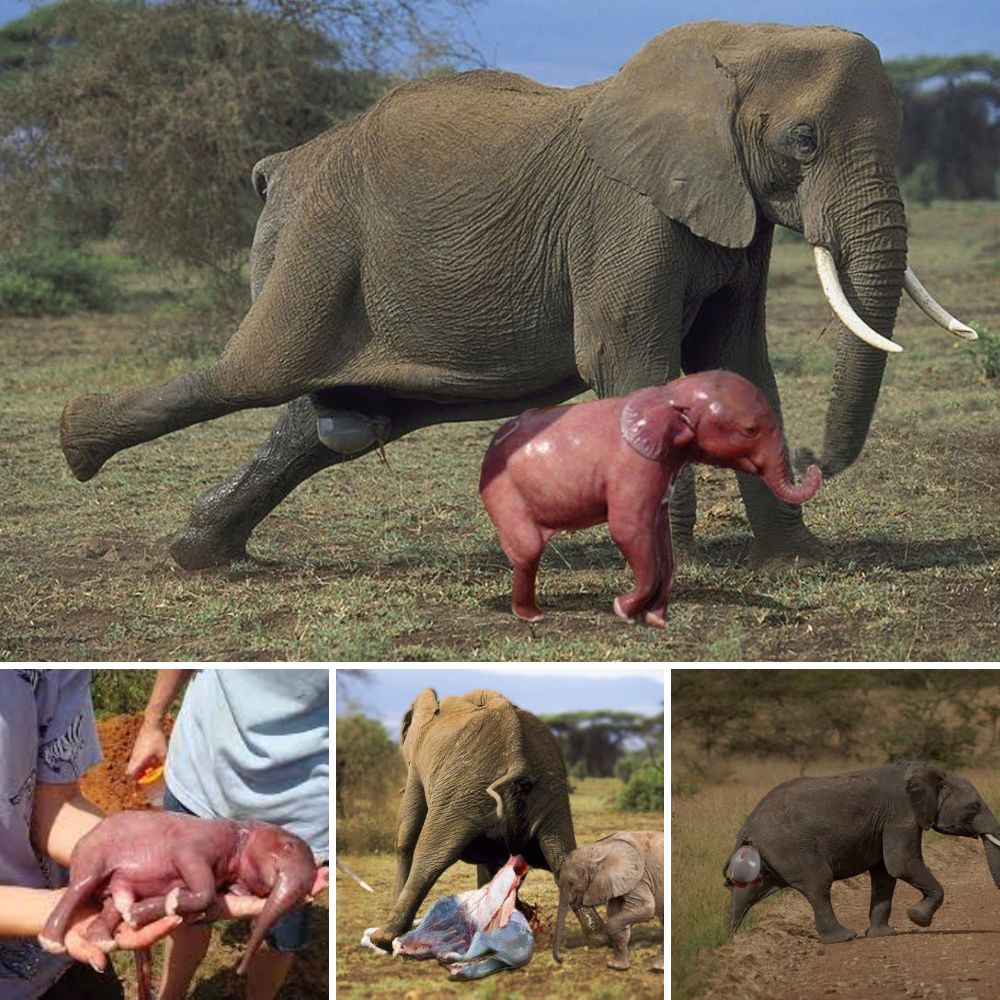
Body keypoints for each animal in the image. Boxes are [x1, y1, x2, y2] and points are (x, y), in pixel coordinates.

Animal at [38, 808, 316, 972]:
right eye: (289, 845)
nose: (240, 971)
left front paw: (138, 913)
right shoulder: (197, 844)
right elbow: (199, 881)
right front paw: (171, 902)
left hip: (110, 885)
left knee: (113, 905)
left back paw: (103, 937)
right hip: (92, 853)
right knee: (78, 887)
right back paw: (51, 942)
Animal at [368, 688, 600, 952]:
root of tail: (517, 754)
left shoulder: (418, 763)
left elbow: (405, 834)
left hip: (461, 792)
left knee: (429, 859)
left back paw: (382, 938)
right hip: (550, 794)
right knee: (560, 858)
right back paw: (599, 937)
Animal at [478, 372, 820, 628]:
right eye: (750, 430)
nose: (811, 462)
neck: (669, 395)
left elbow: (661, 542)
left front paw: (656, 621)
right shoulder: (635, 468)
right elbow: (627, 530)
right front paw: (623, 611)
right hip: (505, 493)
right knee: (527, 548)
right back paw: (532, 617)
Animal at [552, 828, 660, 976]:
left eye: (572, 883)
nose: (563, 958)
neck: (599, 849)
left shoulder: (639, 877)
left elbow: (646, 908)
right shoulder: (614, 882)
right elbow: (616, 912)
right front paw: (617, 967)